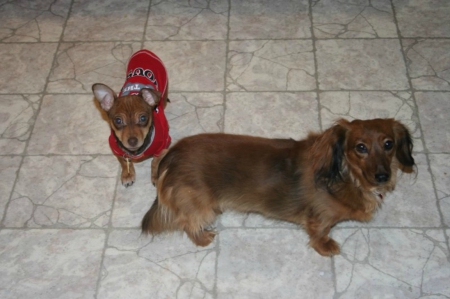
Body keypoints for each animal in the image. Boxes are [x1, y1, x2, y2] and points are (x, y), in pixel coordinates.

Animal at [93, 51, 172, 188]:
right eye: (118, 121)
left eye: (143, 118)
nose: (132, 141)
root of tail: (145, 51)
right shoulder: (117, 149)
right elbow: (125, 162)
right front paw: (127, 174)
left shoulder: (162, 147)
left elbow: (154, 163)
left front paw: (155, 176)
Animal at [142, 118, 414, 256]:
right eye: (360, 147)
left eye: (388, 144)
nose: (383, 176)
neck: (346, 175)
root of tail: (171, 155)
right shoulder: (320, 218)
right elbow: (320, 233)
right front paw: (326, 247)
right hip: (199, 204)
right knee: (187, 222)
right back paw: (202, 238)